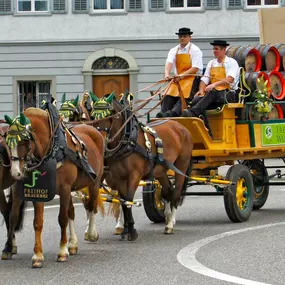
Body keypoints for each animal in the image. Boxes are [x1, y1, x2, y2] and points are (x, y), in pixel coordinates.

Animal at [3, 103, 104, 266]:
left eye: (24, 141)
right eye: (7, 142)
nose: (15, 173)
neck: (54, 150)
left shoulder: (64, 188)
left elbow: (62, 218)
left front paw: (62, 251)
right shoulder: (41, 191)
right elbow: (38, 222)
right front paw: (38, 255)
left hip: (94, 182)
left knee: (91, 206)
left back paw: (91, 233)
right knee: (72, 212)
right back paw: (73, 244)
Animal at [90, 92, 193, 239]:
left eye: (111, 115)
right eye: (93, 116)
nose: (101, 141)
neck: (128, 140)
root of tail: (181, 127)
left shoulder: (134, 175)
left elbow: (128, 199)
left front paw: (131, 230)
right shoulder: (118, 177)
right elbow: (123, 201)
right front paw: (125, 230)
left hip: (181, 165)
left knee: (176, 192)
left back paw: (170, 224)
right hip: (161, 170)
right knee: (168, 191)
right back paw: (167, 220)